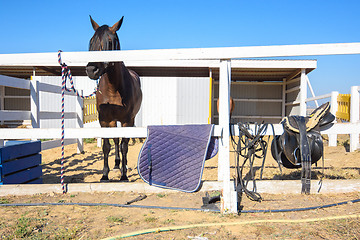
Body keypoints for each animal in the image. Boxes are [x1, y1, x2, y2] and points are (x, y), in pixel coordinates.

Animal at [85, 15, 142, 181]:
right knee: (116, 140)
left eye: (110, 42)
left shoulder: (126, 120)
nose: (91, 69)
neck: (113, 89)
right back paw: (116, 165)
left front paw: (124, 176)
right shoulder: (104, 120)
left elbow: (124, 146)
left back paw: (124, 166)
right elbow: (106, 146)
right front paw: (105, 175)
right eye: (91, 40)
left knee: (123, 142)